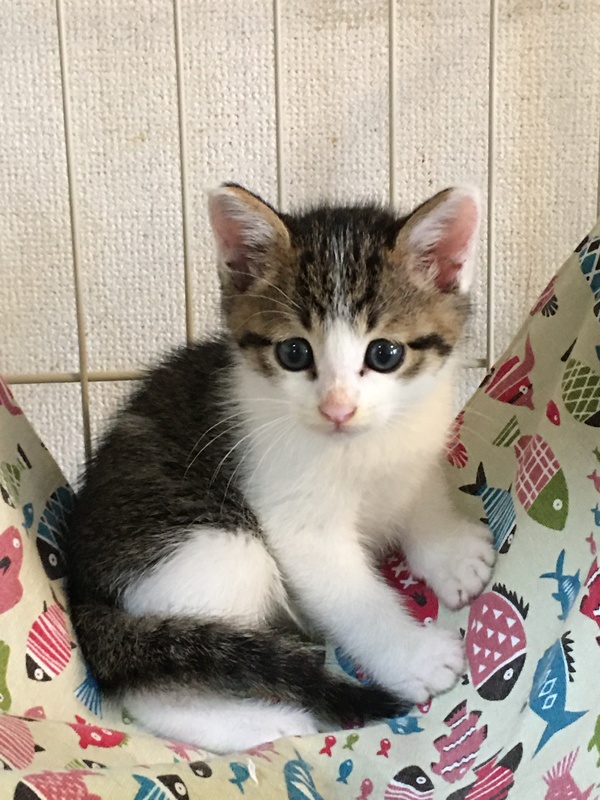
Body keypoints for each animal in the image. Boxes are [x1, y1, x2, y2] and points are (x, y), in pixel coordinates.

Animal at [66, 182, 496, 754]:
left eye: (384, 354)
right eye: (295, 352)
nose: (337, 408)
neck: (365, 448)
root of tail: (80, 587)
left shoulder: (416, 441)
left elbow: (417, 490)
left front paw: (449, 552)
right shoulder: (298, 525)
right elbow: (353, 600)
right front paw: (413, 655)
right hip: (209, 547)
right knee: (153, 688)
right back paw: (264, 724)